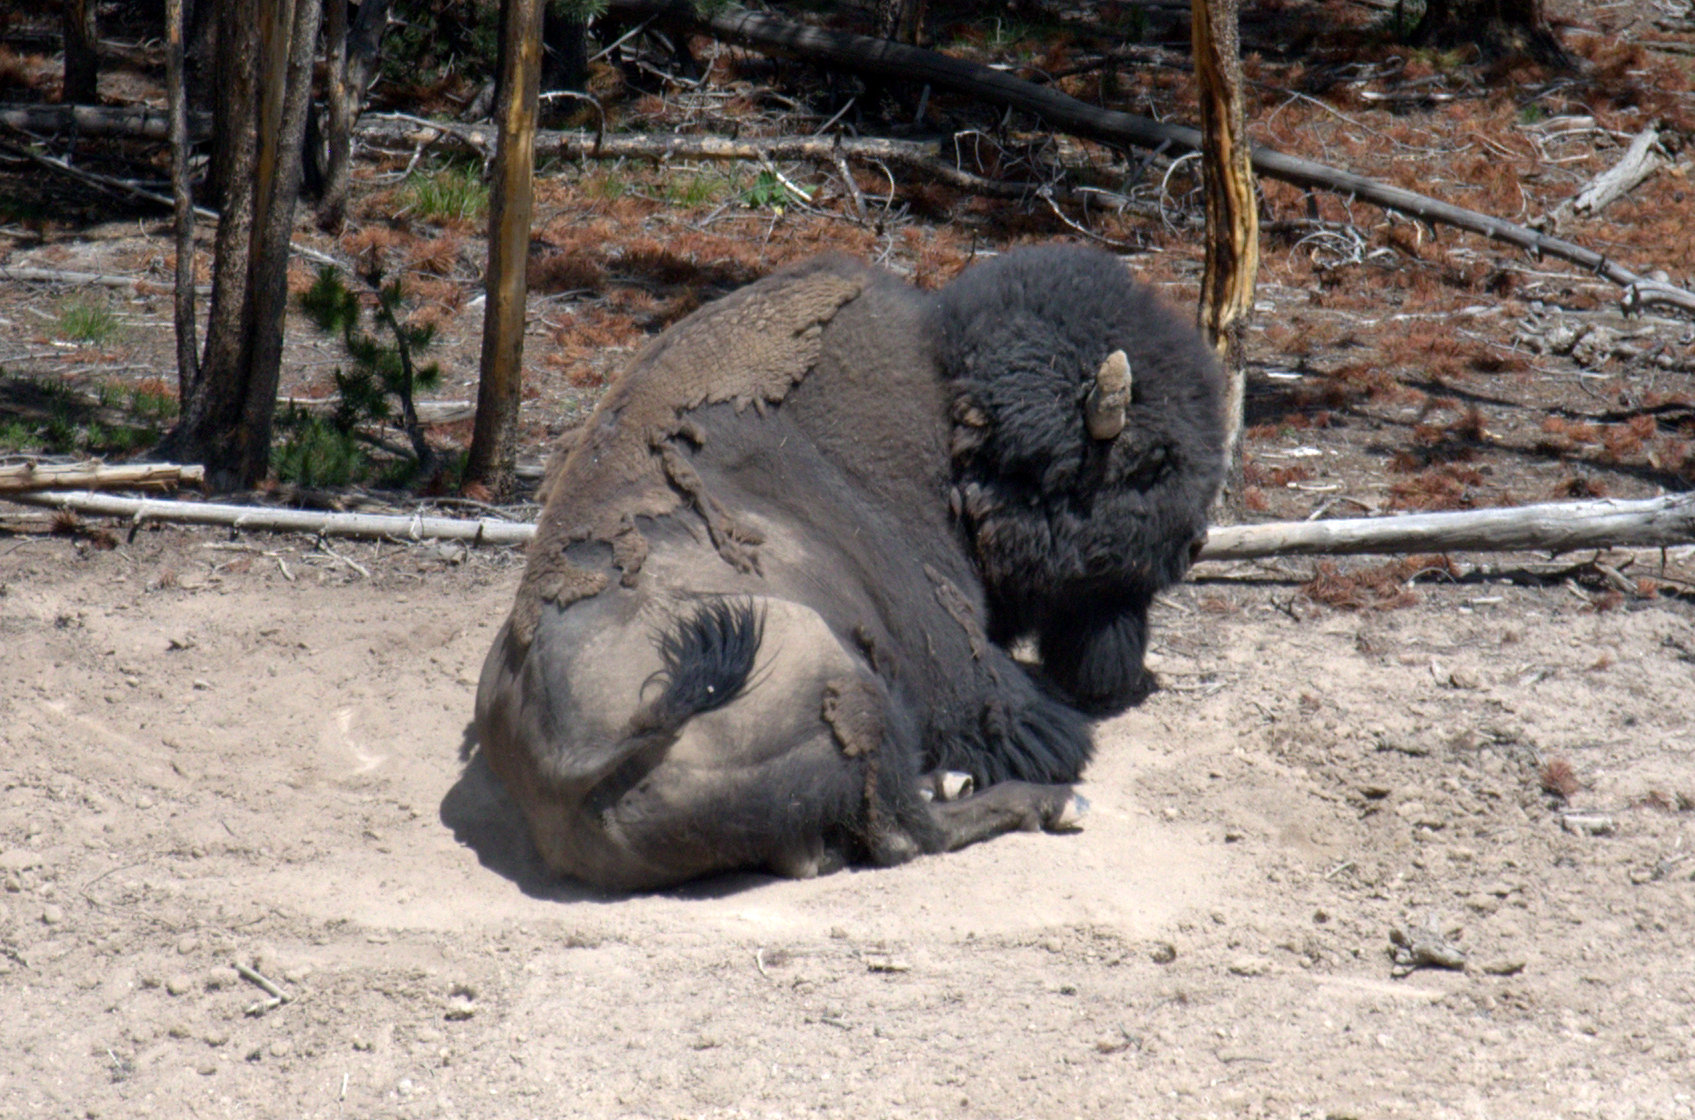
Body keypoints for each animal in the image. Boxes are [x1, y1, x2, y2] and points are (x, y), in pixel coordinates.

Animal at [471, 240, 1227, 887]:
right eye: (1148, 466)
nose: (1194, 543)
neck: (952, 433)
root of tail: (570, 756)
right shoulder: (950, 648)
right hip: (833, 668)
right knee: (908, 833)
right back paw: (1050, 801)